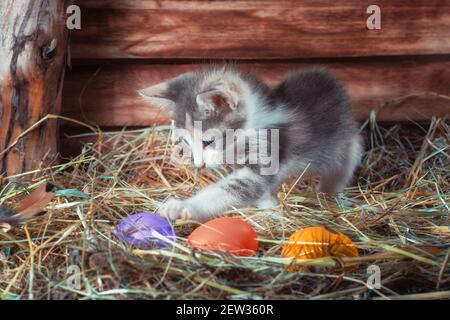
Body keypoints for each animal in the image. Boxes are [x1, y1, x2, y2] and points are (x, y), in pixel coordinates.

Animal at [139, 66, 364, 221]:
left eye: (208, 141)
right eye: (186, 141)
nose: (199, 165)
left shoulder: (266, 155)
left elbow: (235, 189)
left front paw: (182, 207)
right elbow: (262, 191)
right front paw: (270, 208)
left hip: (348, 144)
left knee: (342, 167)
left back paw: (330, 195)